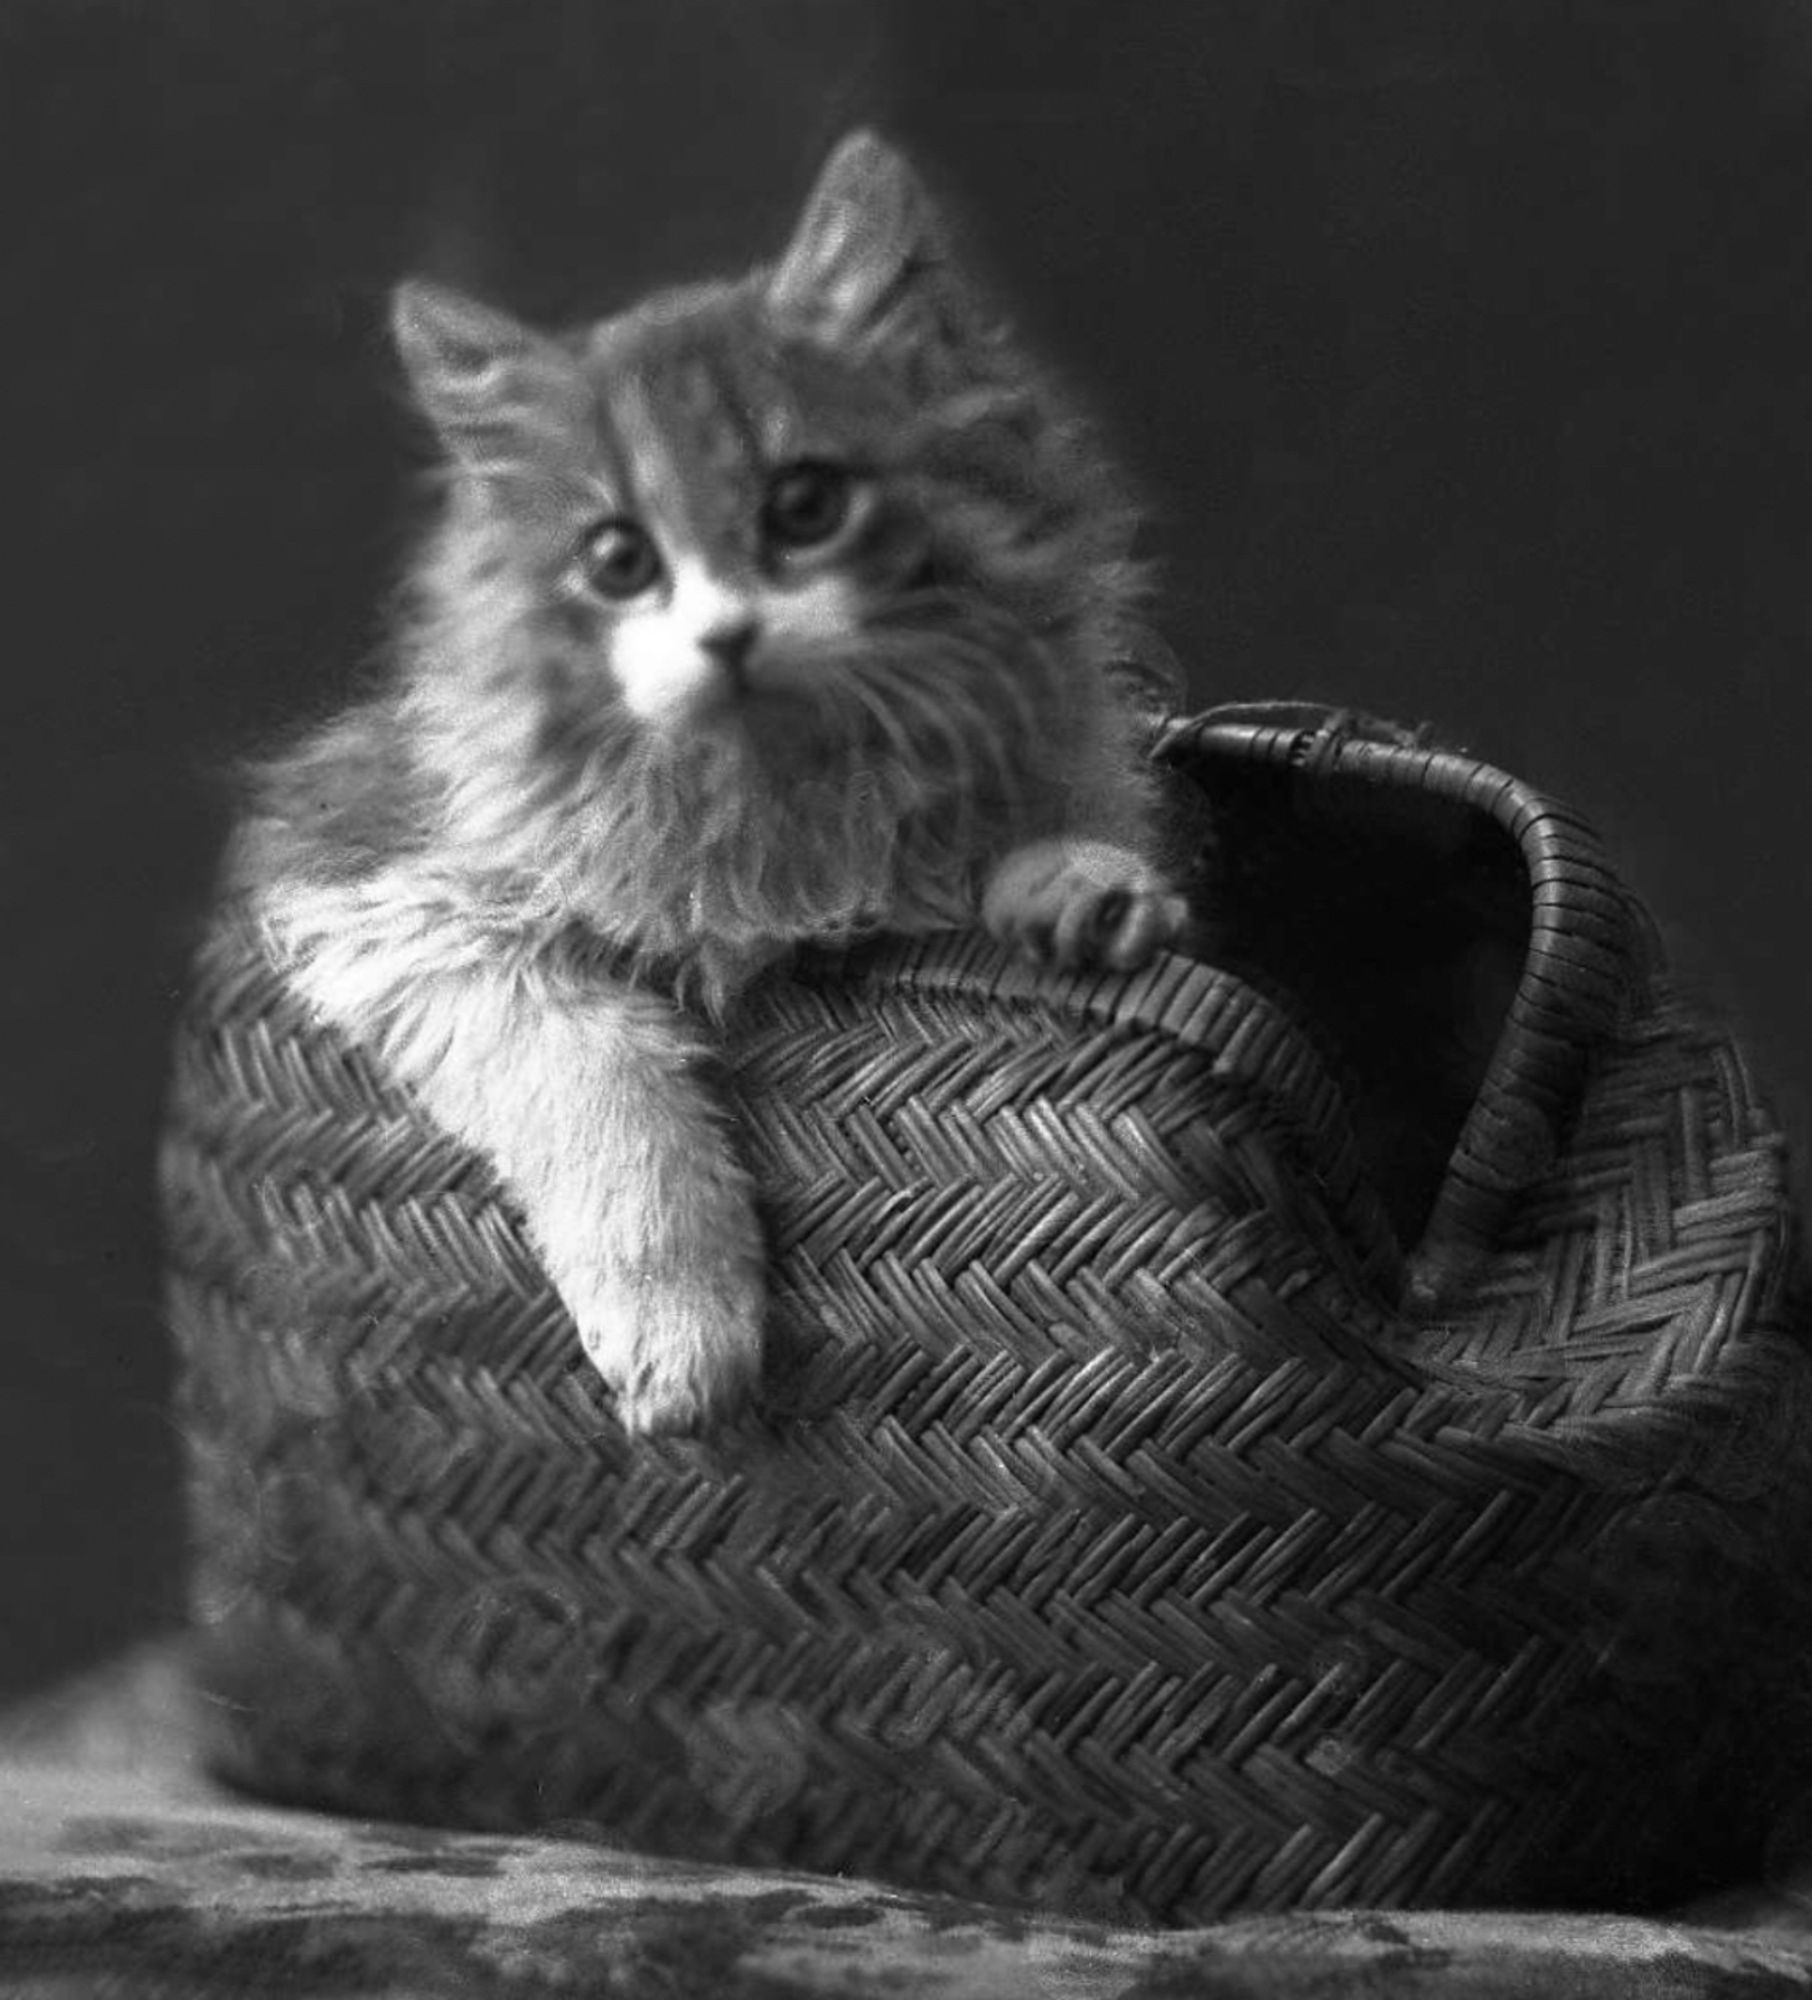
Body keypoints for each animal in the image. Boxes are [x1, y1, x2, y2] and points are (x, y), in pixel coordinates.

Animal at [240, 129, 1184, 1440]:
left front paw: (1081, 892)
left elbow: (1067, 828)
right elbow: (597, 1067)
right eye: (617, 559)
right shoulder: (376, 885)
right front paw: (679, 1336)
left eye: (806, 505)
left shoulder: (1075, 748)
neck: (769, 790)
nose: (727, 635)